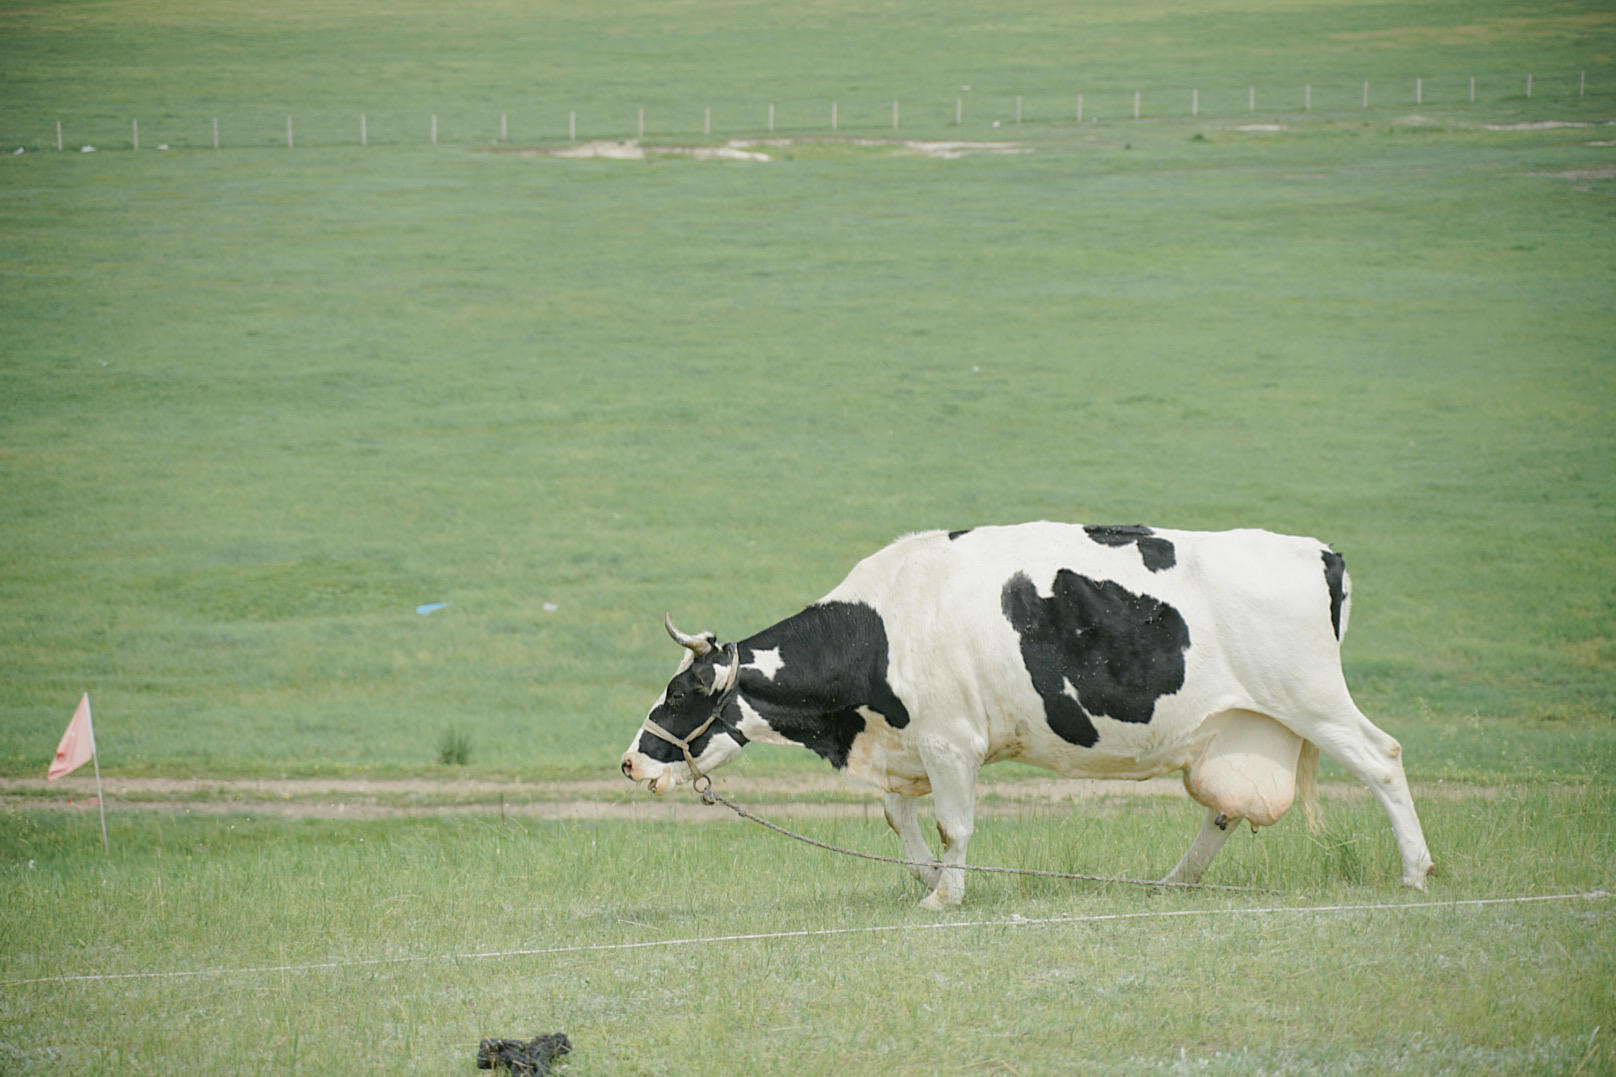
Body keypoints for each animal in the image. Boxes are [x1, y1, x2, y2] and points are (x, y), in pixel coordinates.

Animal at [620, 523, 1441, 899]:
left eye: (680, 693)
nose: (629, 761)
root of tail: (1317, 550)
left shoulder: (951, 739)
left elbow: (953, 824)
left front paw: (946, 896)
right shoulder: (906, 741)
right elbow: (897, 815)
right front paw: (925, 878)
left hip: (1312, 700)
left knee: (1383, 760)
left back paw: (1414, 873)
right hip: (1244, 725)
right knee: (1224, 810)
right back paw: (1172, 884)